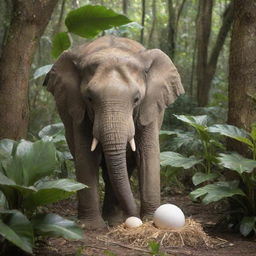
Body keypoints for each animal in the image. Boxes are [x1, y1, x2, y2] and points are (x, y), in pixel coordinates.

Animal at [44, 35, 184, 229]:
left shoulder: (150, 108)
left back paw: (114, 220)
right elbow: (86, 157)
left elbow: (147, 154)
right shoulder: (78, 110)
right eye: (89, 98)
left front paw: (149, 220)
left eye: (136, 99)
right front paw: (91, 226)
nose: (135, 218)